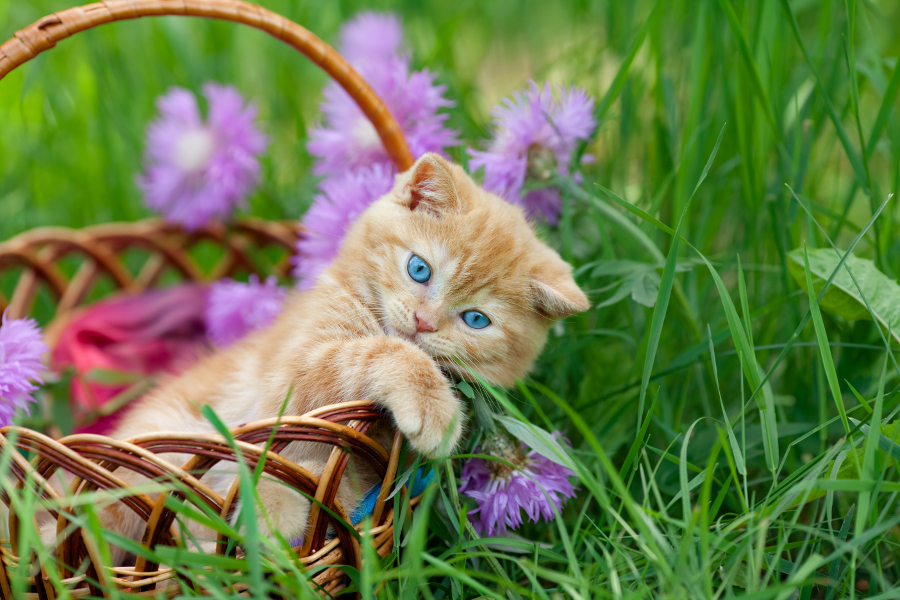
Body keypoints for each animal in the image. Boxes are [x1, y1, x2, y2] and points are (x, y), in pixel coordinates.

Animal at [56, 152, 592, 560]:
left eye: (475, 319)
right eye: (419, 269)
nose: (423, 322)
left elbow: (337, 490)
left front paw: (279, 506)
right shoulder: (292, 375)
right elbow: (372, 356)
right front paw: (434, 405)